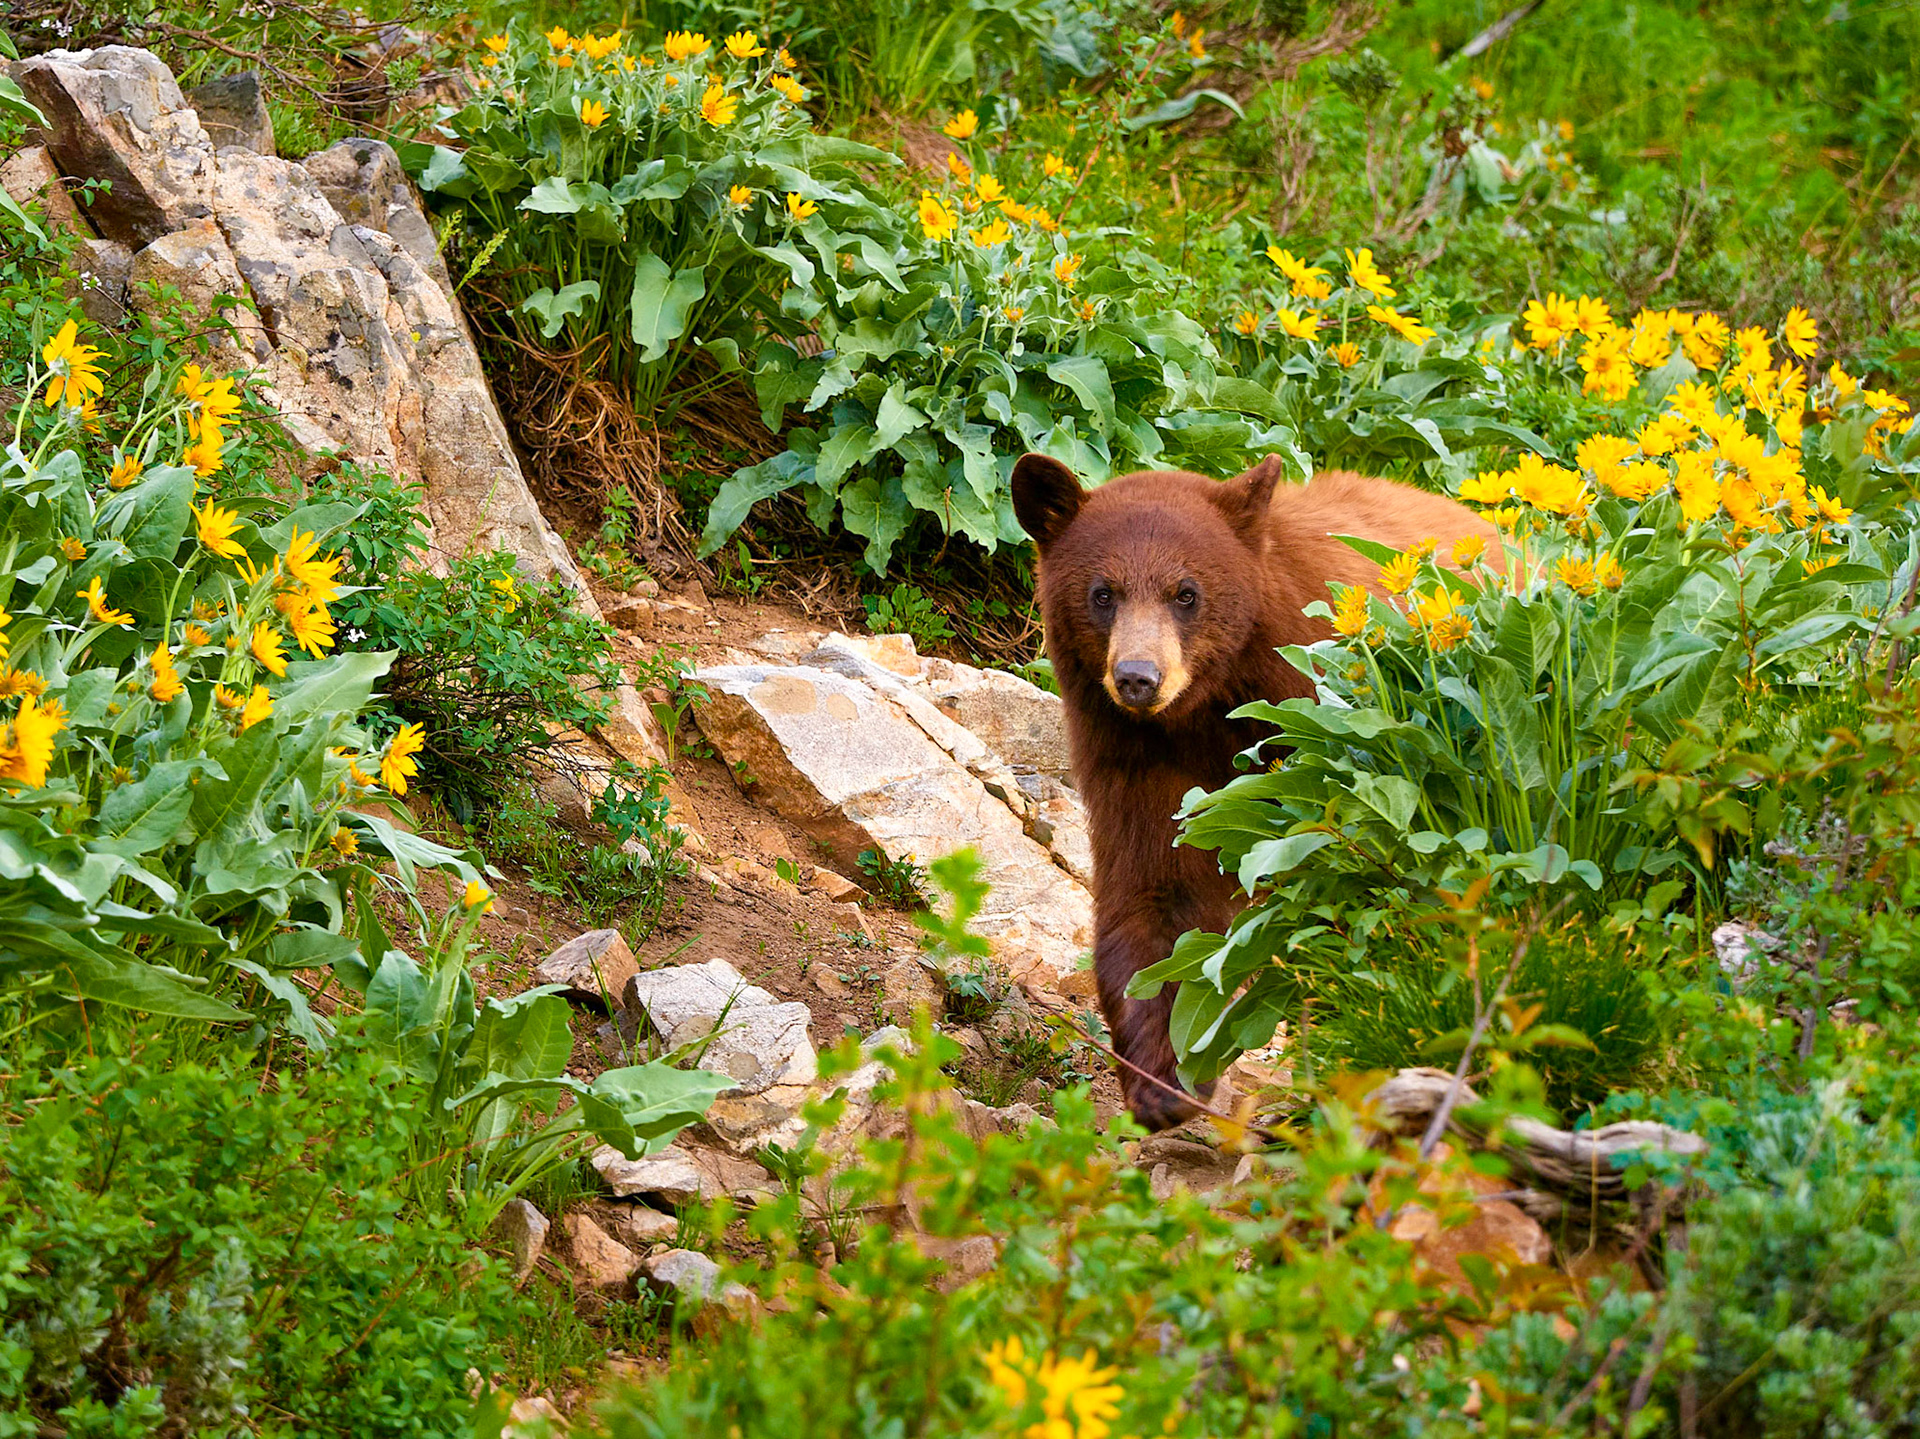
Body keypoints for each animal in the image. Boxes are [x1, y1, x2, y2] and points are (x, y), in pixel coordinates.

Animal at [1011, 451, 1499, 1131]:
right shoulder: (1138, 755)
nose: (1137, 678)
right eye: (1102, 593)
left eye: (1186, 593)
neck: (1212, 707)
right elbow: (1159, 887)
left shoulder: (1314, 722)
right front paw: (1161, 1077)